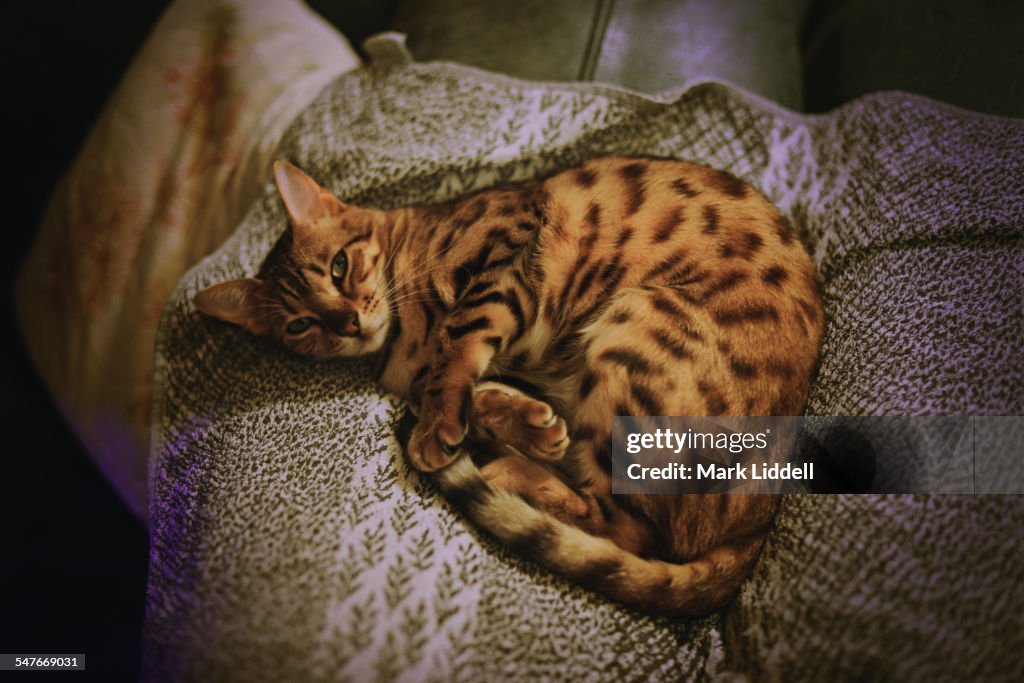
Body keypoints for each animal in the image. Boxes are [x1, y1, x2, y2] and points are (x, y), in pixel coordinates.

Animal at [195, 157, 827, 618]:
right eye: (300, 325)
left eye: (338, 267)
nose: (346, 323)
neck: (403, 342)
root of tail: (760, 520)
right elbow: (474, 392)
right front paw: (521, 422)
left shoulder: (505, 255)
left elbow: (459, 349)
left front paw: (443, 427)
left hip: (635, 331)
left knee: (630, 527)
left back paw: (507, 473)